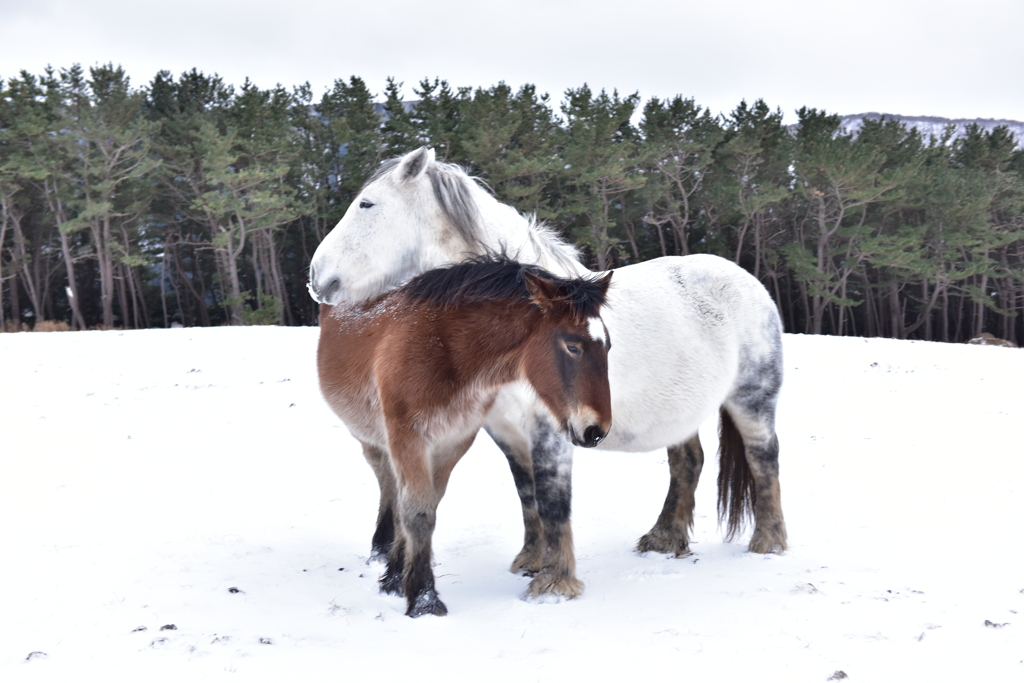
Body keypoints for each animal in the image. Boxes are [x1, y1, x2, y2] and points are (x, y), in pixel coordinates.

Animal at [315, 255, 610, 618]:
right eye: (572, 346)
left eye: (608, 345)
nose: (596, 430)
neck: (444, 349)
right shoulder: (408, 439)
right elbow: (417, 513)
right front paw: (423, 599)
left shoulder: (453, 441)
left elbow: (425, 507)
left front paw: (400, 580)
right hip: (372, 440)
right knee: (387, 483)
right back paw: (382, 550)